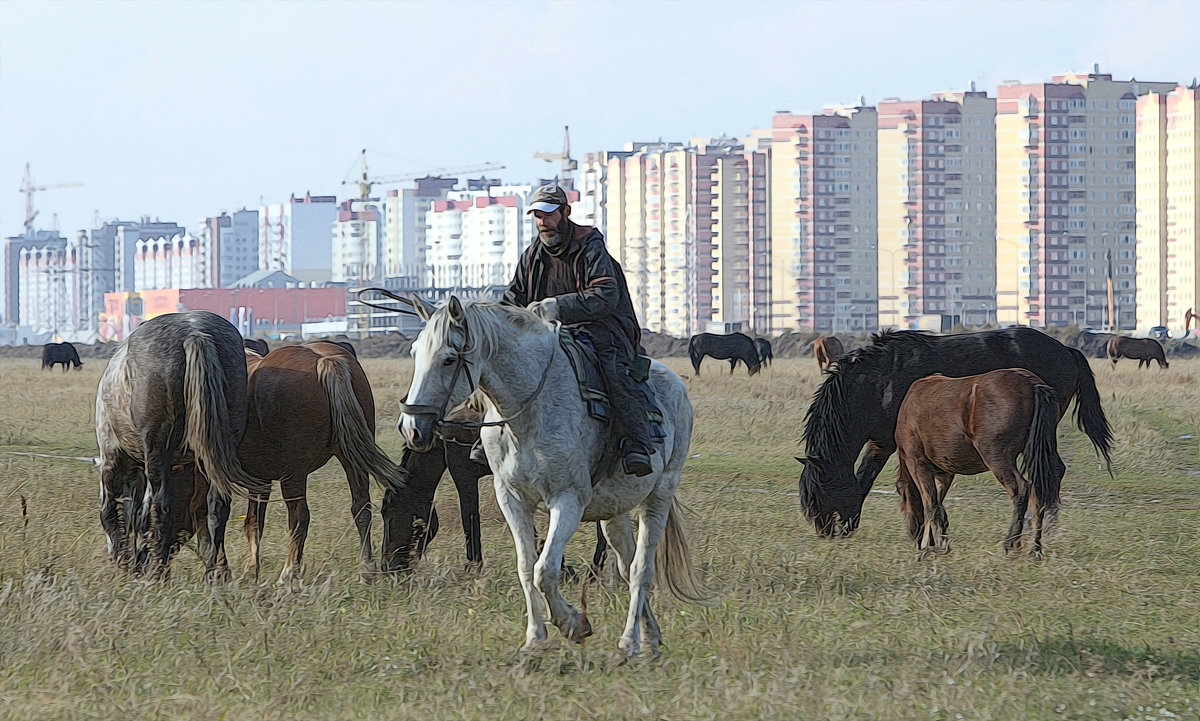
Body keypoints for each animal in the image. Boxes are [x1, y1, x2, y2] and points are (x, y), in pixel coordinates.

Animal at [93, 309, 267, 578]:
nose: (116, 557)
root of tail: (195, 334)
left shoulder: (115, 458)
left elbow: (115, 512)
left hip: (157, 451)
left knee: (161, 507)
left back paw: (157, 572)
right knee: (218, 507)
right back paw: (214, 574)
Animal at [398, 295, 705, 657]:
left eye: (448, 359)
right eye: (414, 352)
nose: (412, 428)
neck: (530, 412)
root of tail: (674, 383)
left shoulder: (567, 500)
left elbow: (545, 570)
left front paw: (573, 623)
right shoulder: (512, 499)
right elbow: (526, 567)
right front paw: (535, 639)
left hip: (659, 495)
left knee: (641, 568)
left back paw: (630, 642)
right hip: (613, 510)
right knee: (627, 564)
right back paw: (651, 637)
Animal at [796, 328, 1113, 537]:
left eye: (820, 492)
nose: (825, 532)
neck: (878, 379)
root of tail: (1067, 350)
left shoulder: (889, 443)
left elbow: (886, 483)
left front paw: (917, 529)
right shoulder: (884, 442)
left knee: (1051, 471)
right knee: (1051, 470)